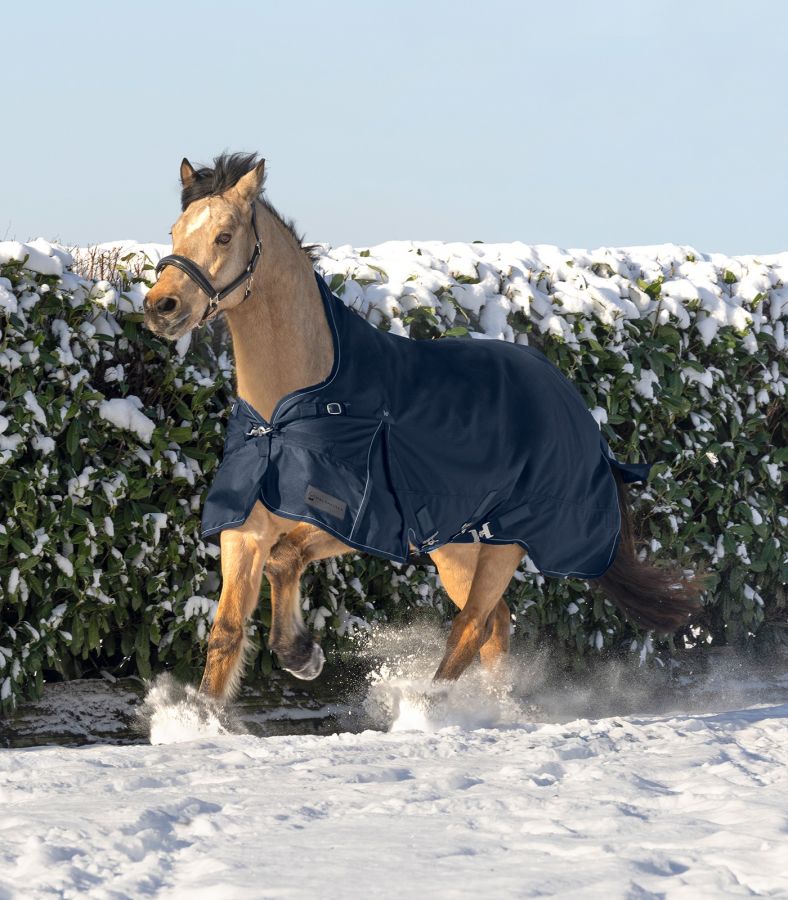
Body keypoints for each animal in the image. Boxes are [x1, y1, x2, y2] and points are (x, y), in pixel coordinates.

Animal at [143, 153, 708, 704]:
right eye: (174, 231)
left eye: (223, 236)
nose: (160, 307)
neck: (284, 416)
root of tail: (570, 400)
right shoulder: (246, 529)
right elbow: (226, 631)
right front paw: (201, 719)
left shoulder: (356, 523)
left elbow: (286, 559)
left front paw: (302, 655)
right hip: (456, 547)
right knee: (495, 627)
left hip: (505, 541)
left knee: (472, 627)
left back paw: (427, 710)